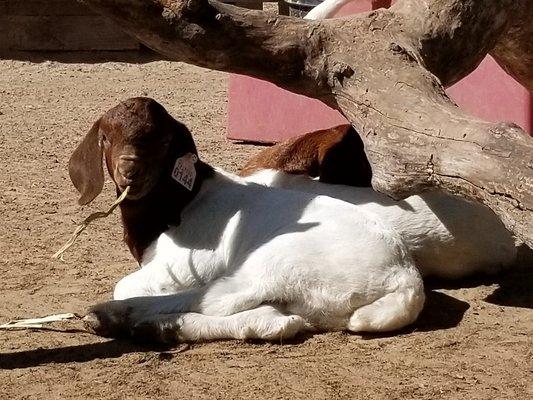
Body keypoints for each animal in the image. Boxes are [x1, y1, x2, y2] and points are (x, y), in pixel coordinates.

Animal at [69, 97, 424, 344]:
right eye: (105, 137)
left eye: (164, 141)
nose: (130, 170)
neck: (180, 203)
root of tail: (405, 277)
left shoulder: (190, 262)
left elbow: (127, 284)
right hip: (311, 297)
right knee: (277, 319)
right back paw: (158, 328)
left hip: (281, 258)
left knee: (221, 298)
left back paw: (112, 316)